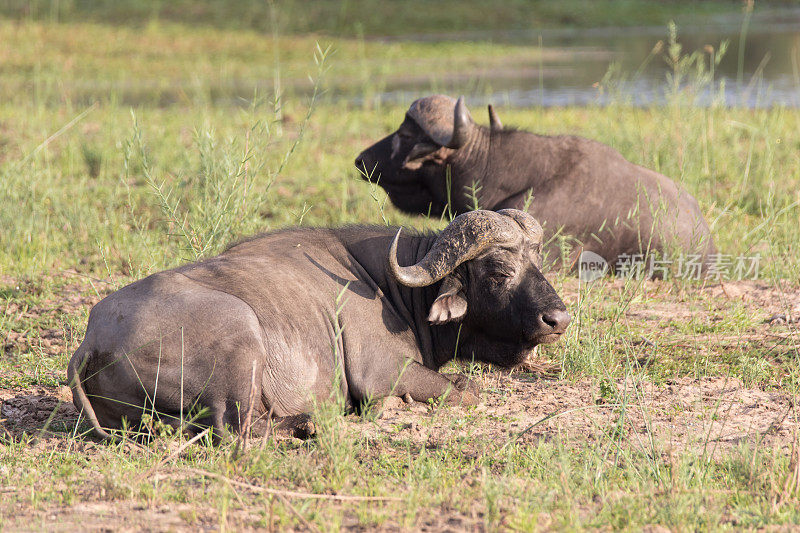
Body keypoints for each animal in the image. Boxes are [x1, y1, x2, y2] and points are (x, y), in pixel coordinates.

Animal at [69, 209, 568, 440]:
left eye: (538, 263)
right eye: (499, 271)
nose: (558, 319)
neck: (392, 288)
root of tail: (92, 338)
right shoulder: (382, 372)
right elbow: (466, 390)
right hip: (242, 333)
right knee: (236, 427)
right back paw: (311, 423)